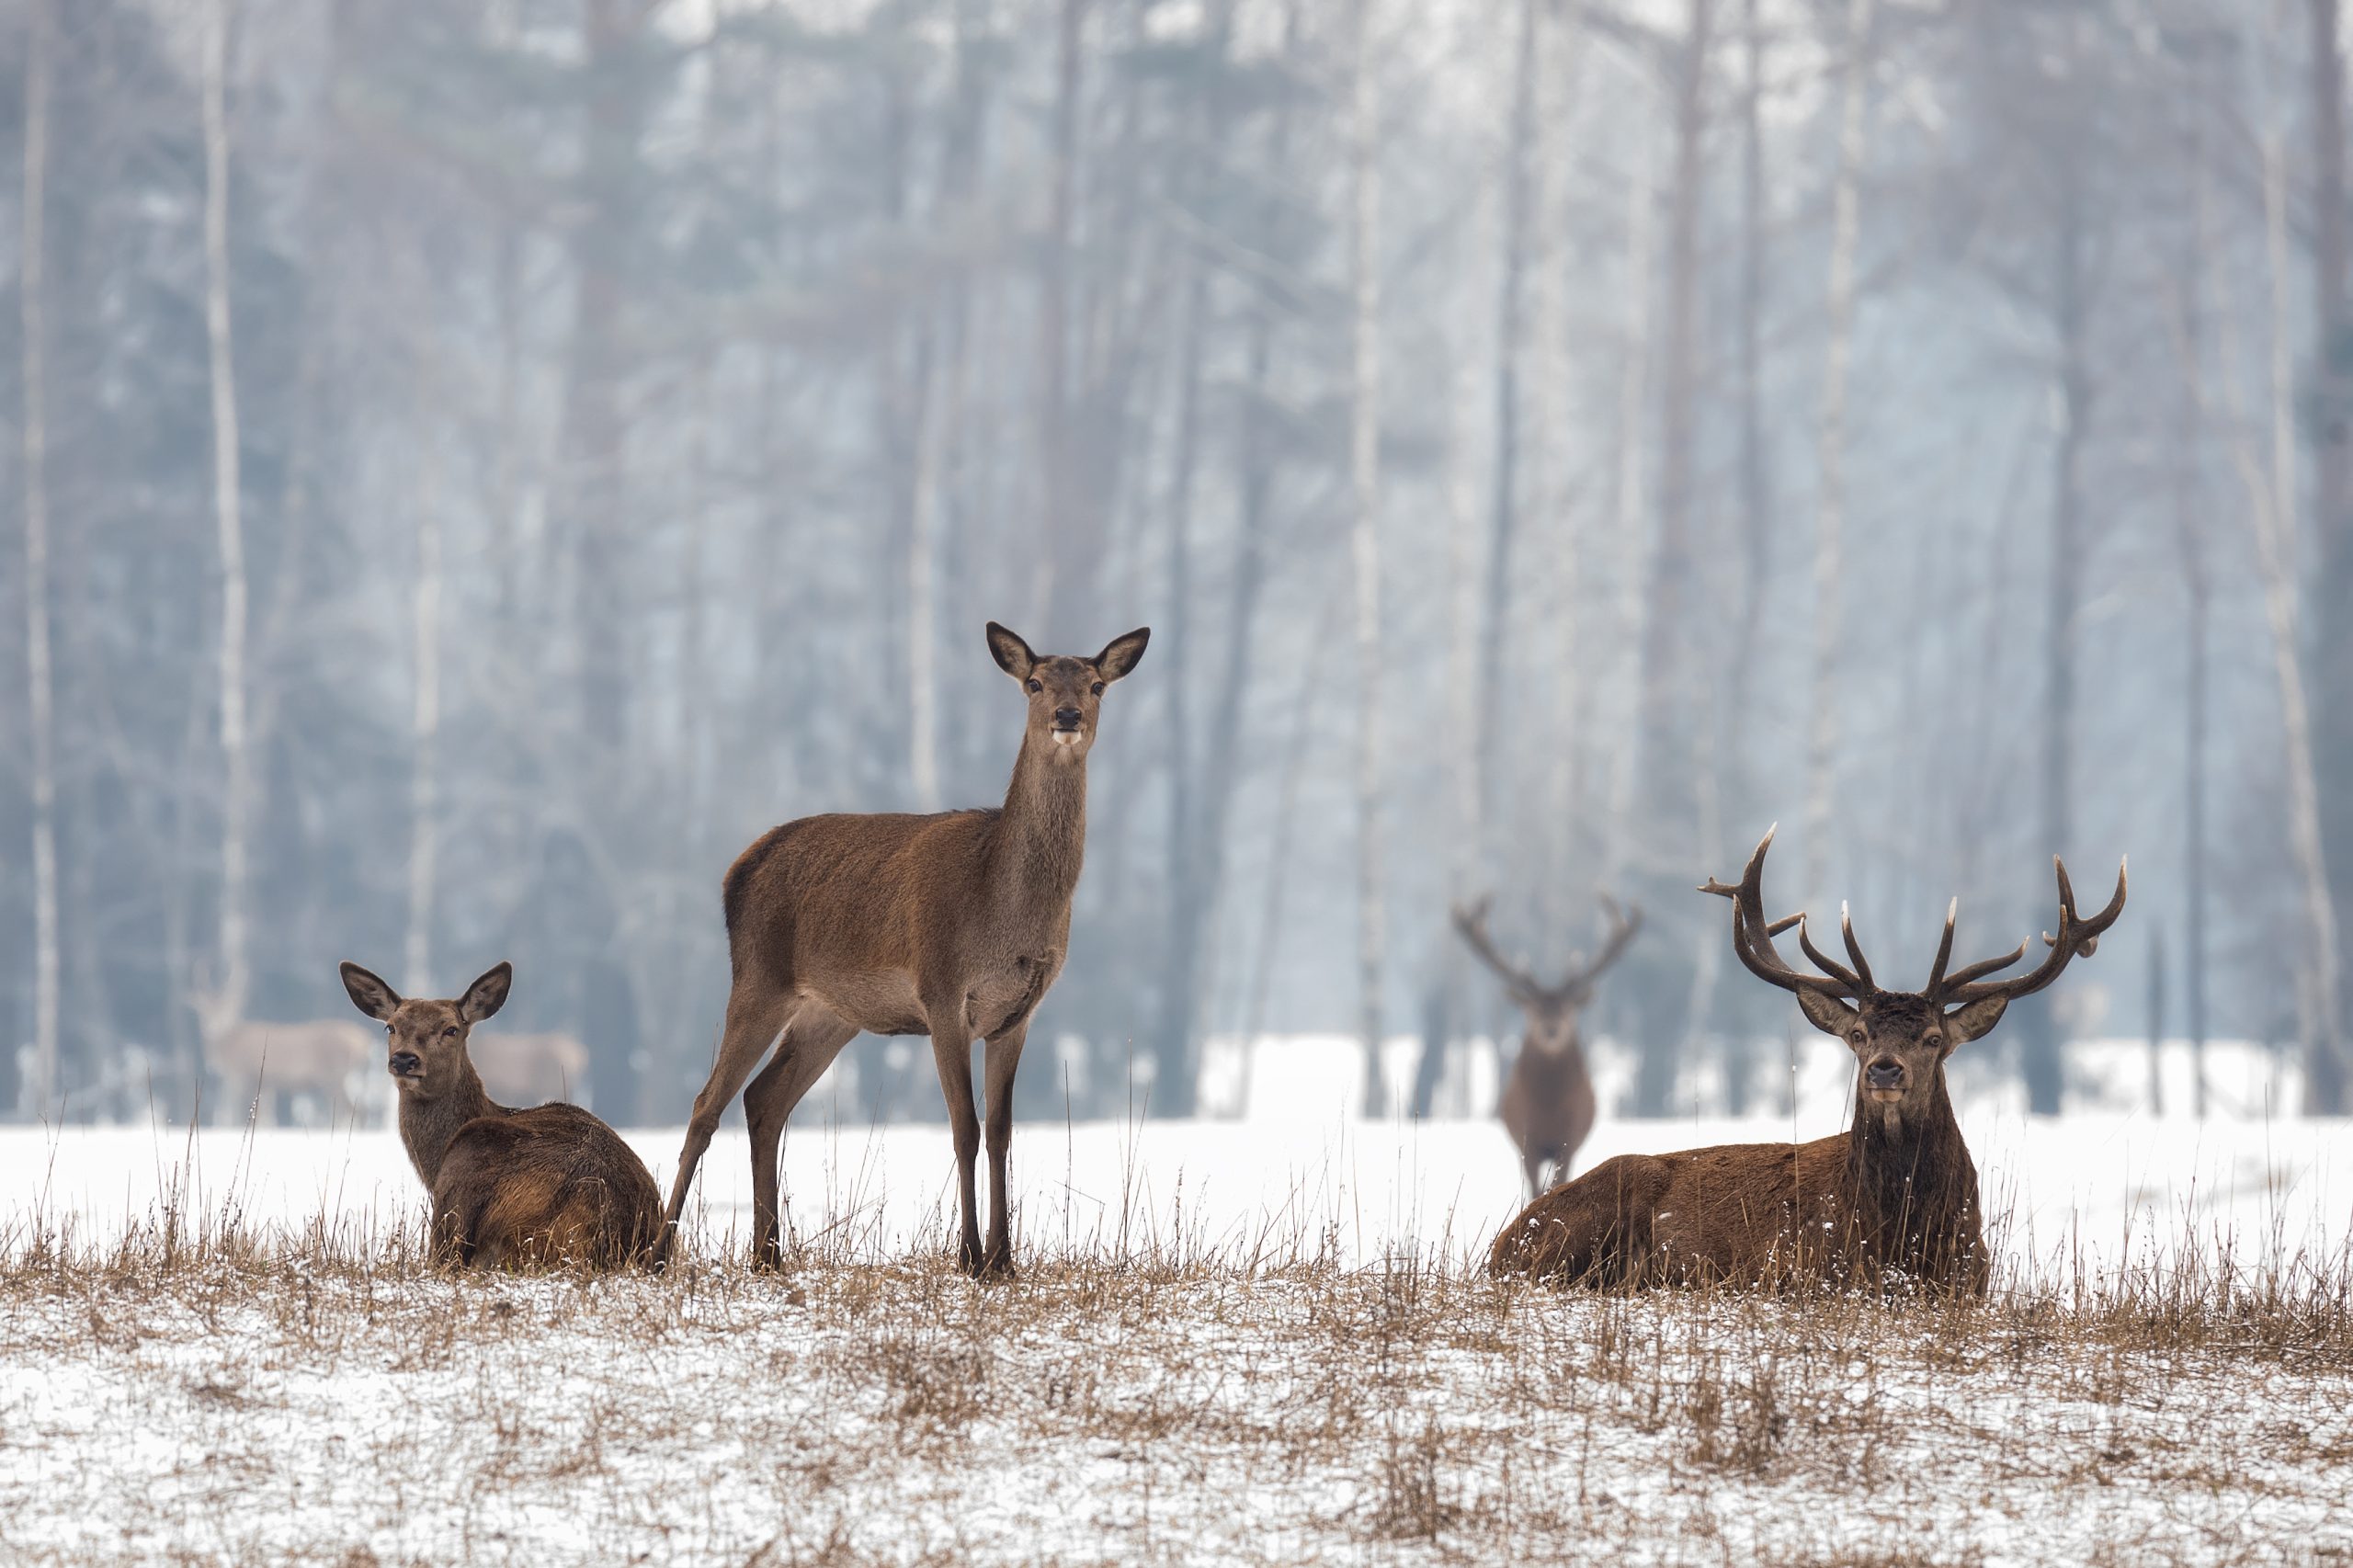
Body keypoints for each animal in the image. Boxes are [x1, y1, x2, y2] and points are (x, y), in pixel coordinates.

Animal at [663, 621, 1148, 1271]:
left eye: (1097, 685)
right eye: (1034, 682)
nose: (1067, 715)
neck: (1001, 904)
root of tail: (736, 873)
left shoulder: (1017, 1014)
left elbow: (1002, 1131)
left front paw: (1004, 1260)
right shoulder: (942, 993)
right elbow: (965, 1128)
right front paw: (969, 1256)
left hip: (831, 1012)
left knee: (765, 1100)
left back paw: (769, 1254)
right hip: (758, 978)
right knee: (704, 1104)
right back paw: (658, 1249)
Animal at [1439, 885, 1647, 1191]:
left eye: (1569, 1009)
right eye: (1532, 1009)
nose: (1551, 1029)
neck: (1548, 1110)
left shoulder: (1569, 1140)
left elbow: (1562, 1180)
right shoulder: (1527, 1141)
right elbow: (1535, 1189)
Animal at [1486, 824, 2136, 1290]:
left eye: (1933, 1039)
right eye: (1860, 1034)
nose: (1884, 1069)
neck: (1902, 1238)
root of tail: (1499, 1246)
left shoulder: (1972, 1278)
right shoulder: (1797, 1273)